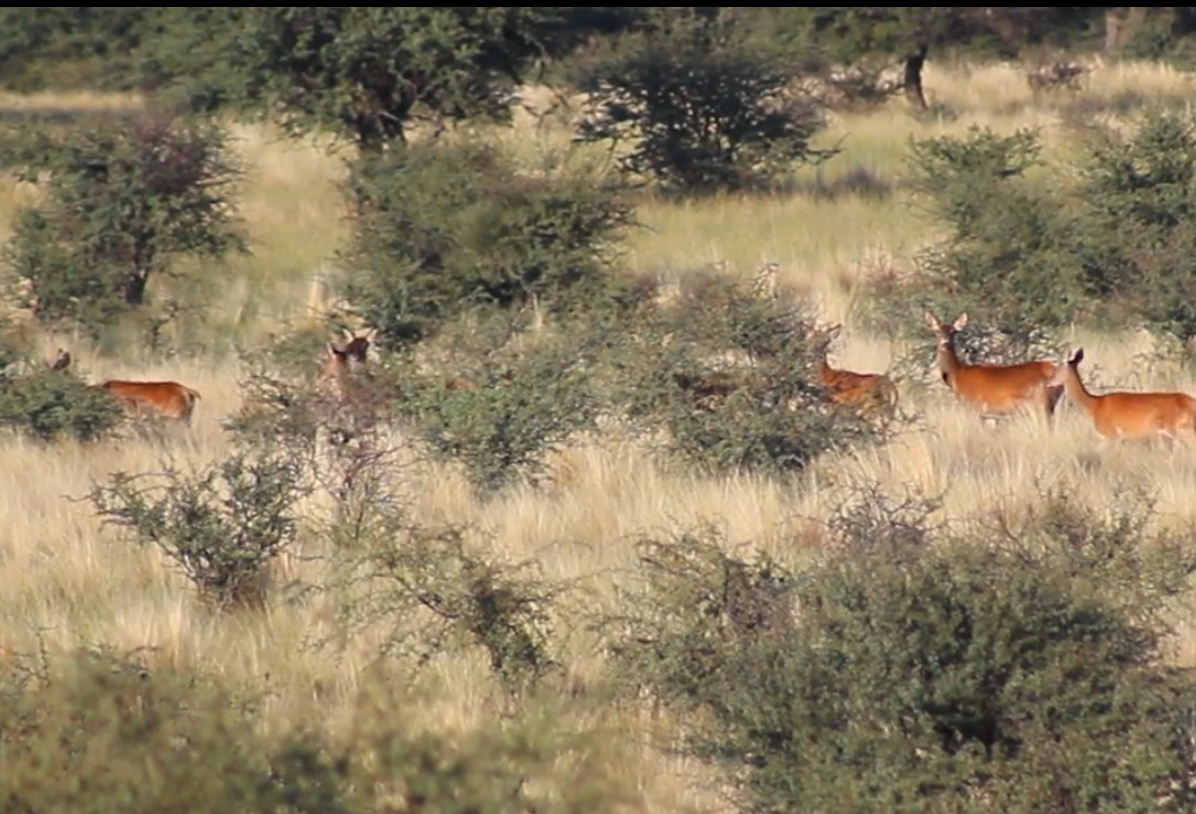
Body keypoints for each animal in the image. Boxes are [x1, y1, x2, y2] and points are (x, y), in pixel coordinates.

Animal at [918, 310, 1062, 423]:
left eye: (953, 332)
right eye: (937, 331)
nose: (945, 342)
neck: (958, 375)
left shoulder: (974, 407)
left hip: (1041, 402)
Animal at [1047, 344, 1196, 442]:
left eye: (1057, 368)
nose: (1048, 382)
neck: (1095, 405)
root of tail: (1191, 402)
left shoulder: (1112, 435)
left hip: (1181, 430)